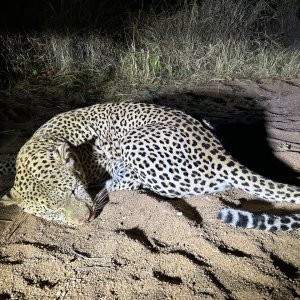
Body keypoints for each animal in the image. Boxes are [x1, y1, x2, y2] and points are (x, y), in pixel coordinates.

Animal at [0, 102, 300, 231]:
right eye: (52, 211)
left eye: (74, 190)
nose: (86, 219)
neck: (48, 138)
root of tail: (218, 152)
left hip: (134, 141)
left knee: (136, 181)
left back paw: (110, 184)